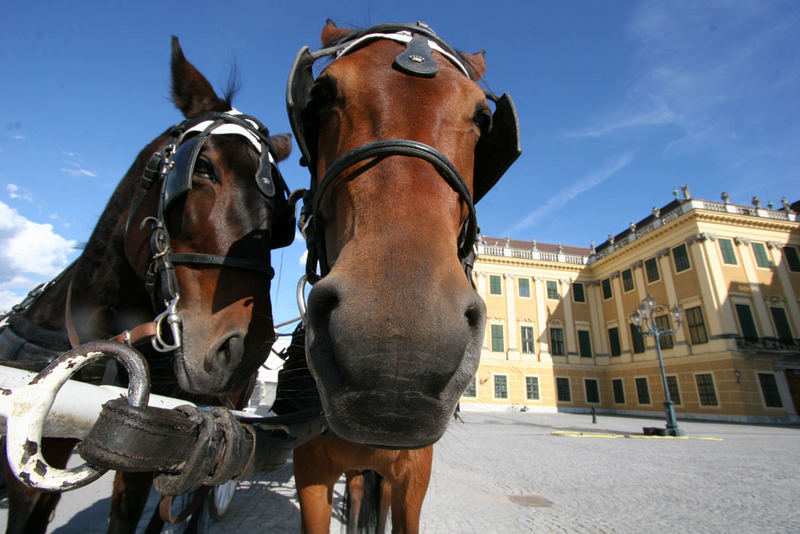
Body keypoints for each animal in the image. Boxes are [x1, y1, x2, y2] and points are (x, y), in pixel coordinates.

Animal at [0, 37, 294, 534]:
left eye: (282, 208)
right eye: (202, 168)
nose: (243, 350)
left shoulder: (151, 446)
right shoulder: (42, 447)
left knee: (202, 489)